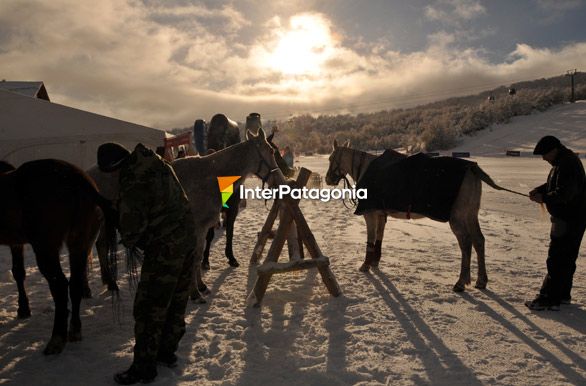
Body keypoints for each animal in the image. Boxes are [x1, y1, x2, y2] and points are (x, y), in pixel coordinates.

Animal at [0, 158, 117, 354]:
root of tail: (78, 179)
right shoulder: (16, 243)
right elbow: (18, 272)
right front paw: (23, 308)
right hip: (80, 242)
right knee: (75, 284)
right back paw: (74, 330)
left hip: (46, 247)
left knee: (60, 286)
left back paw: (57, 339)